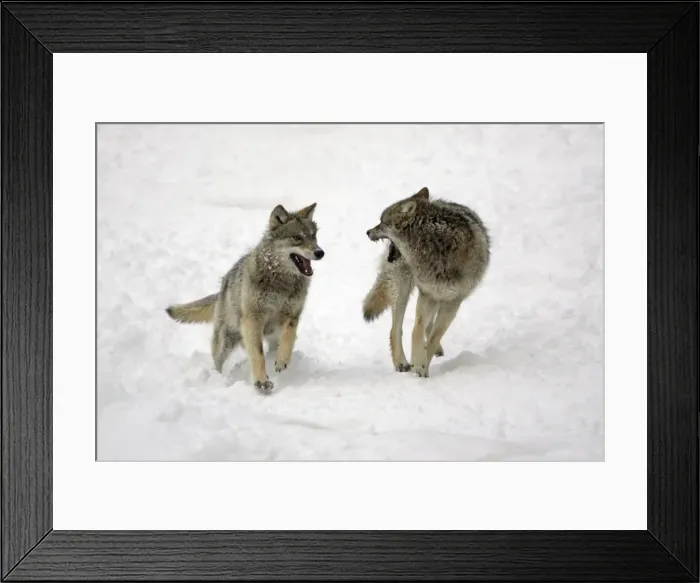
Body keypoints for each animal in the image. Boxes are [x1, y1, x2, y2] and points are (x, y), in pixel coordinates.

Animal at [166, 203, 323, 393]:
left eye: (314, 236)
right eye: (297, 237)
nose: (320, 252)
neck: (281, 283)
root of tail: (222, 288)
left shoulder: (292, 315)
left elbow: (289, 337)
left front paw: (282, 361)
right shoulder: (253, 320)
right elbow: (257, 354)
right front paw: (261, 382)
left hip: (268, 335)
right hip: (225, 342)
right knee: (217, 363)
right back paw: (217, 380)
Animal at [365, 187, 490, 378]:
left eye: (381, 222)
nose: (367, 231)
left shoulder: (452, 302)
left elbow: (433, 337)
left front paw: (423, 367)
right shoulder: (427, 294)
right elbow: (416, 330)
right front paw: (417, 364)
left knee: (429, 329)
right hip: (402, 287)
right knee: (396, 328)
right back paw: (401, 363)